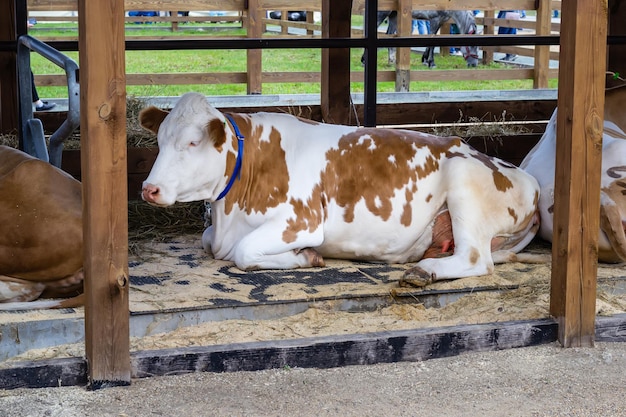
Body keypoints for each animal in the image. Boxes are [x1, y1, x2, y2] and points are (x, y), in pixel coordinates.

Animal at [139, 92, 540, 284]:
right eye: (160, 140)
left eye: (192, 143)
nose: (148, 189)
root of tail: (530, 181)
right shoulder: (218, 233)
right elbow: (209, 241)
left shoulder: (300, 221)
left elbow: (243, 251)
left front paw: (307, 257)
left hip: (462, 183)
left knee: (476, 259)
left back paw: (423, 272)